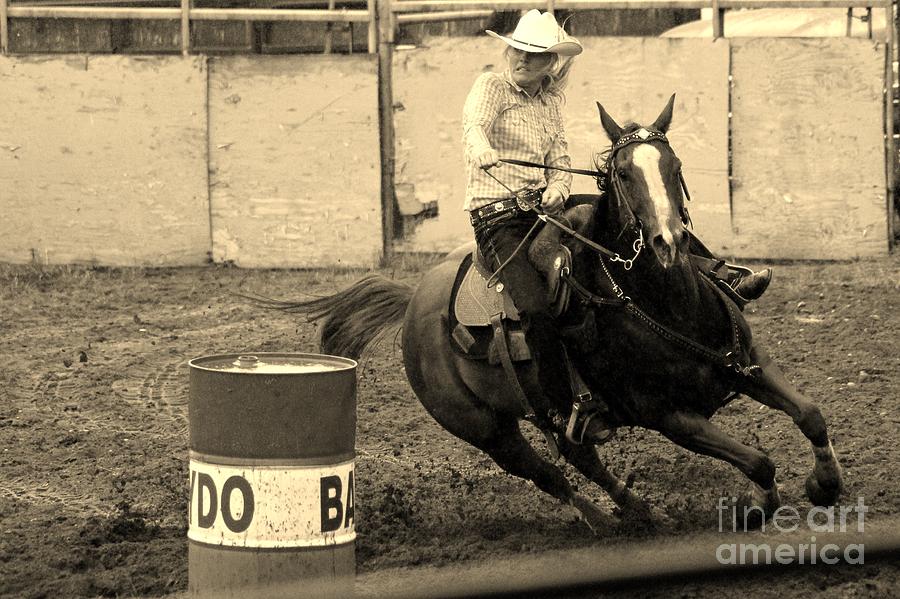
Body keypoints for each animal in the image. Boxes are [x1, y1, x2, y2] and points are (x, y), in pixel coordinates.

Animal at [262, 96, 844, 532]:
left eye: (674, 167)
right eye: (624, 176)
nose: (669, 242)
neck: (668, 308)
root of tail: (414, 303)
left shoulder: (747, 362)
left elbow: (811, 413)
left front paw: (826, 484)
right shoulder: (670, 416)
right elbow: (760, 461)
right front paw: (756, 509)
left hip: (544, 409)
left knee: (579, 454)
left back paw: (641, 511)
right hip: (484, 429)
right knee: (550, 475)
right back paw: (609, 521)